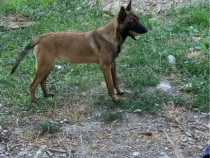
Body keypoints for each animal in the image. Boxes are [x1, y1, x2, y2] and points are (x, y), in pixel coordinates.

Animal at [11, 0, 148, 103]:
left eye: (138, 19)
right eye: (132, 22)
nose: (146, 30)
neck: (112, 36)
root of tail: (41, 37)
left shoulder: (112, 65)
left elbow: (115, 81)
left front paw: (119, 92)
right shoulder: (105, 66)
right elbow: (110, 84)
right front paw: (115, 99)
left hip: (48, 66)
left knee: (42, 81)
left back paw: (46, 95)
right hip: (44, 66)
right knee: (33, 85)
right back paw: (33, 101)